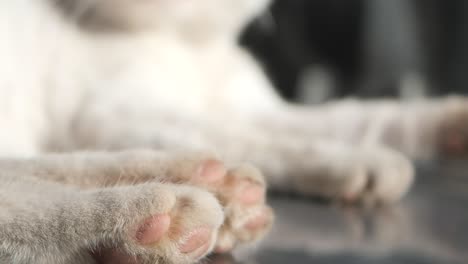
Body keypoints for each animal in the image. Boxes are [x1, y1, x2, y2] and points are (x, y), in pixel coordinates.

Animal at [0, 0, 468, 264]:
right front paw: (361, 161)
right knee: (17, 197)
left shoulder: (257, 107)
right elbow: (259, 141)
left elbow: (352, 117)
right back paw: (152, 216)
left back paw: (215, 186)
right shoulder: (115, 117)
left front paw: (450, 126)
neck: (189, 44)